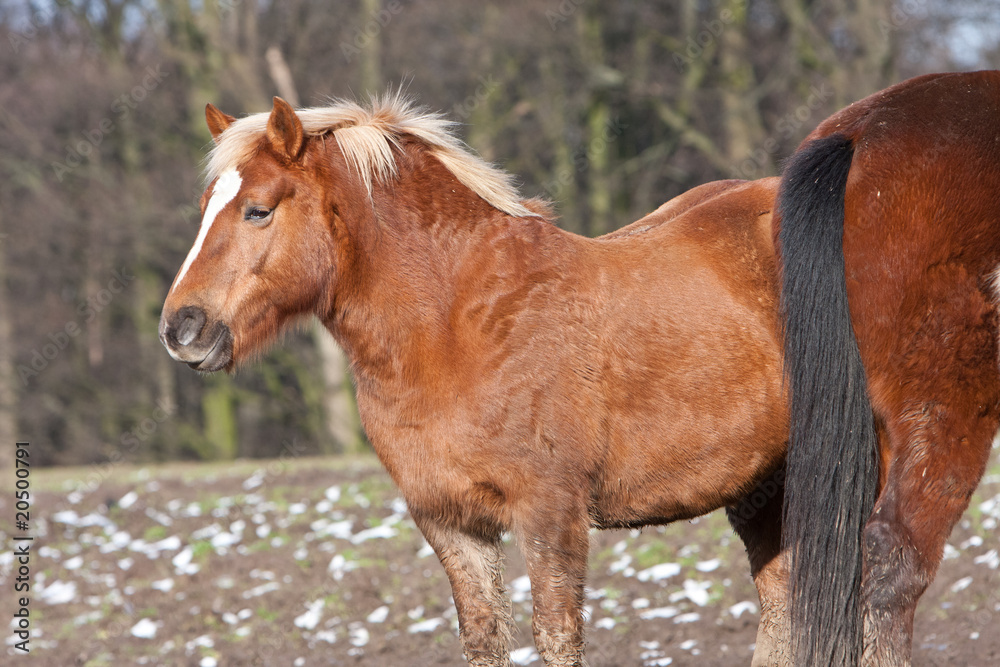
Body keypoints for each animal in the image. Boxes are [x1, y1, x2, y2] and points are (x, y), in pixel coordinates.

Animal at [158, 94, 793, 665]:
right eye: (204, 205)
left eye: (258, 210)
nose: (181, 327)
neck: (462, 323)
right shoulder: (450, 522)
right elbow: (484, 638)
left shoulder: (550, 514)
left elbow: (557, 639)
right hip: (759, 490)